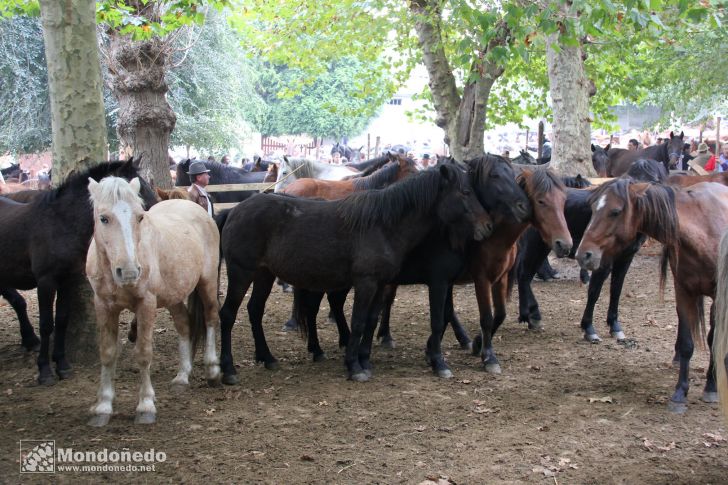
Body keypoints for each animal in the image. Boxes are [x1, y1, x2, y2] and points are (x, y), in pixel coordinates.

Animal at [86, 177, 220, 424]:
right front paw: (103, 406)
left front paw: (146, 405)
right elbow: (107, 353)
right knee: (184, 324)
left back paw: (213, 370)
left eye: (140, 217)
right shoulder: (103, 306)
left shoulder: (146, 304)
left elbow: (143, 353)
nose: (129, 272)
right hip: (173, 295)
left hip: (207, 283)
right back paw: (182, 376)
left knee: (211, 319)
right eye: (104, 218)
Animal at [216, 164, 490, 384]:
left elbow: (370, 321)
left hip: (264, 274)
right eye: (465, 192)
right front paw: (354, 367)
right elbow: (358, 322)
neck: (383, 225)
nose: (487, 226)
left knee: (255, 310)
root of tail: (233, 211)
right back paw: (228, 370)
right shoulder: (366, 283)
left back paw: (268, 357)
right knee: (228, 314)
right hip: (241, 272)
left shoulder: (380, 284)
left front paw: (362, 359)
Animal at [576, 178, 728, 412]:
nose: (583, 254)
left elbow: (714, 340)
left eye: (615, 211)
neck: (703, 231)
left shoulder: (719, 298)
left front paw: (711, 387)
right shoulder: (683, 291)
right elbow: (687, 343)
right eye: (592, 208)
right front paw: (679, 393)